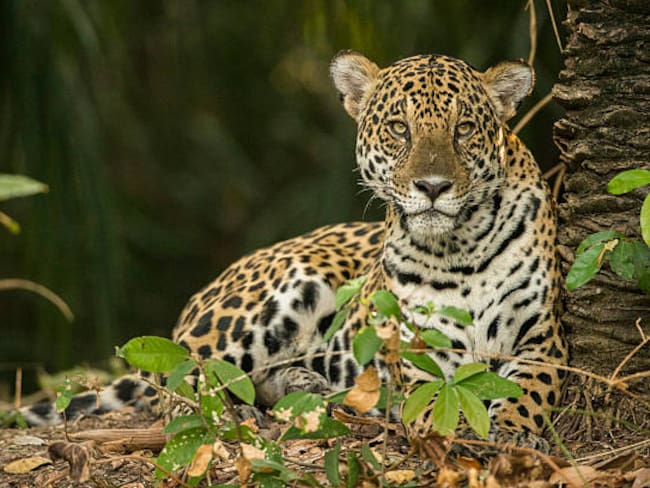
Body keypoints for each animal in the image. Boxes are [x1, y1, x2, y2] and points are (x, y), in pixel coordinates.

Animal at [20, 51, 567, 447]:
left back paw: (309, 388)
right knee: (176, 381)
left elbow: (529, 391)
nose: (433, 187)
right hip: (286, 289)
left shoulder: (543, 337)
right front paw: (457, 428)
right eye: (399, 128)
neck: (461, 247)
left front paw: (514, 432)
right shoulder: (417, 350)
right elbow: (435, 399)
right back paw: (229, 412)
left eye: (464, 129)